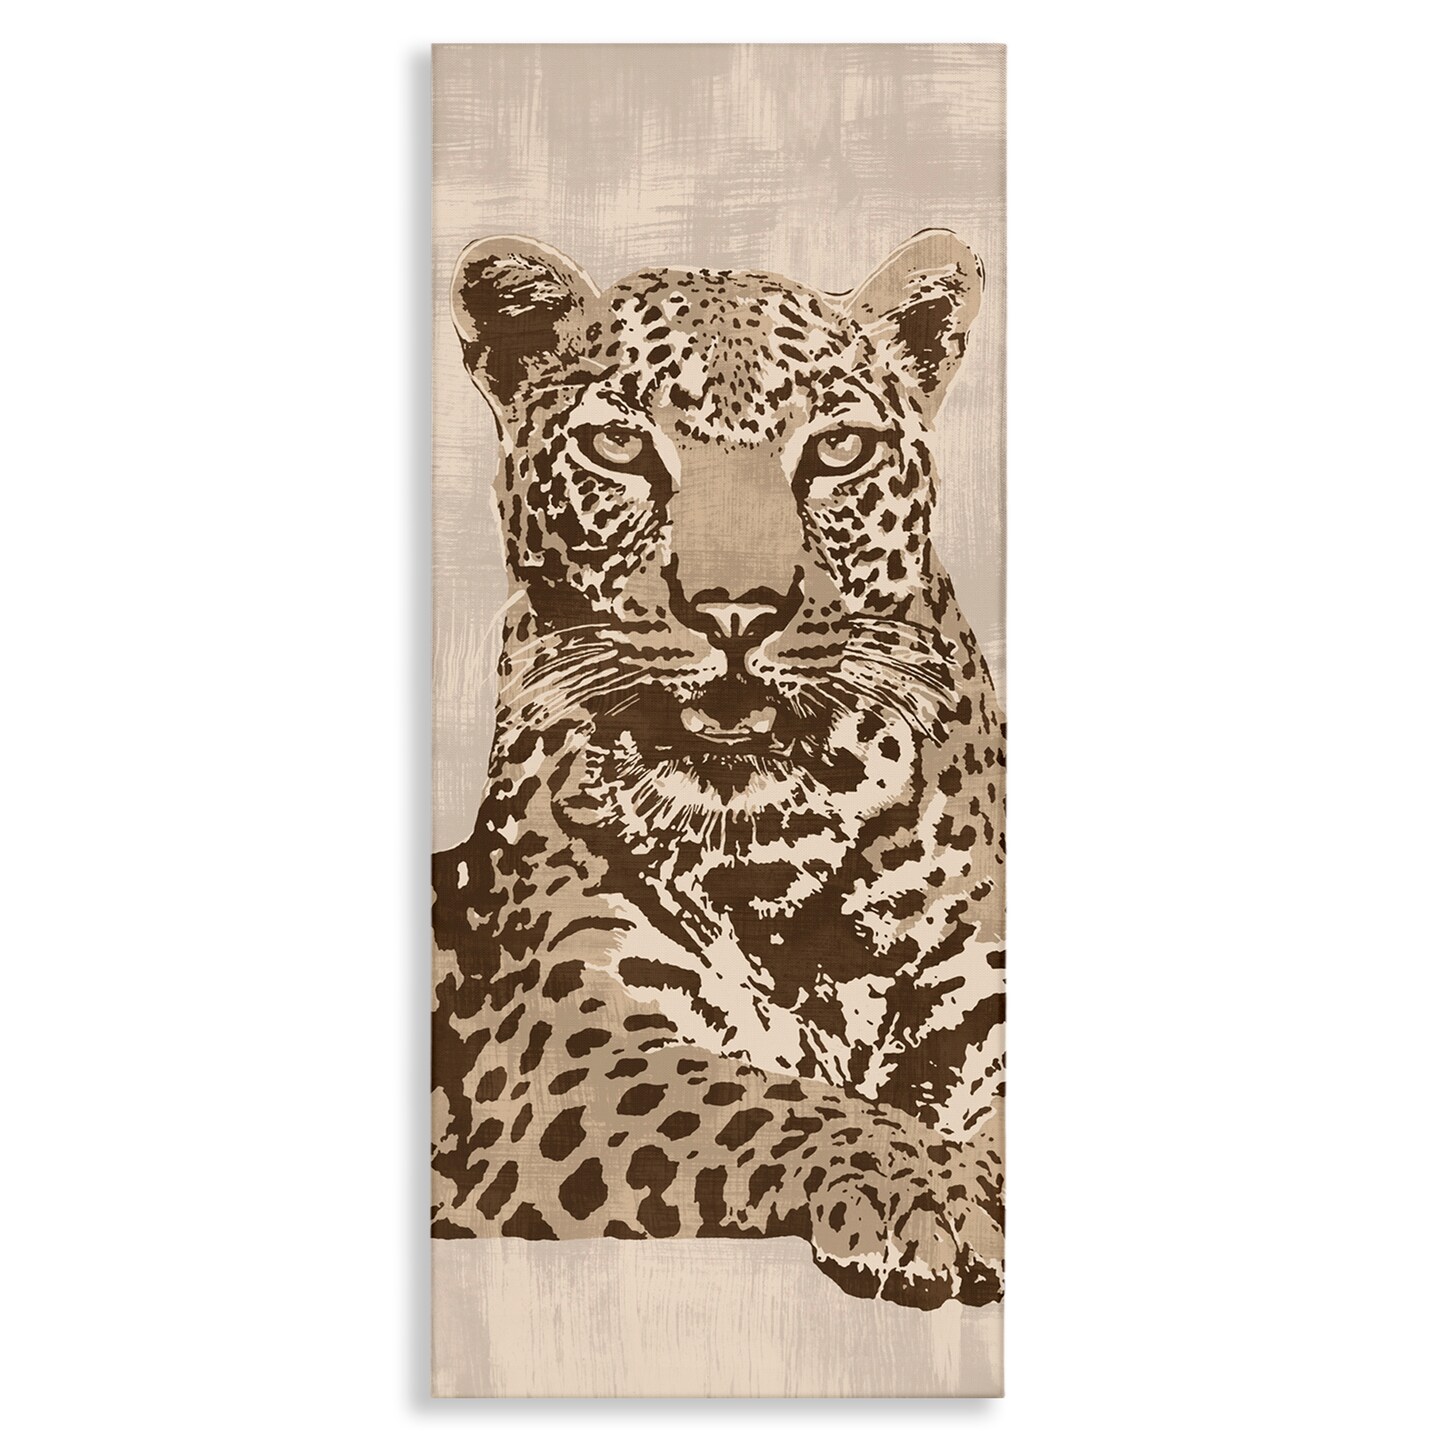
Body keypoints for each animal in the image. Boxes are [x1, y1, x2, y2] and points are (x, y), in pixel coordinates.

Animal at [432, 229, 1005, 1310]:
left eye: (837, 450)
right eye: (620, 448)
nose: (736, 610)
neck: (772, 825)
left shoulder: (980, 984)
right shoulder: (576, 1043)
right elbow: (768, 1099)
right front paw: (925, 1190)